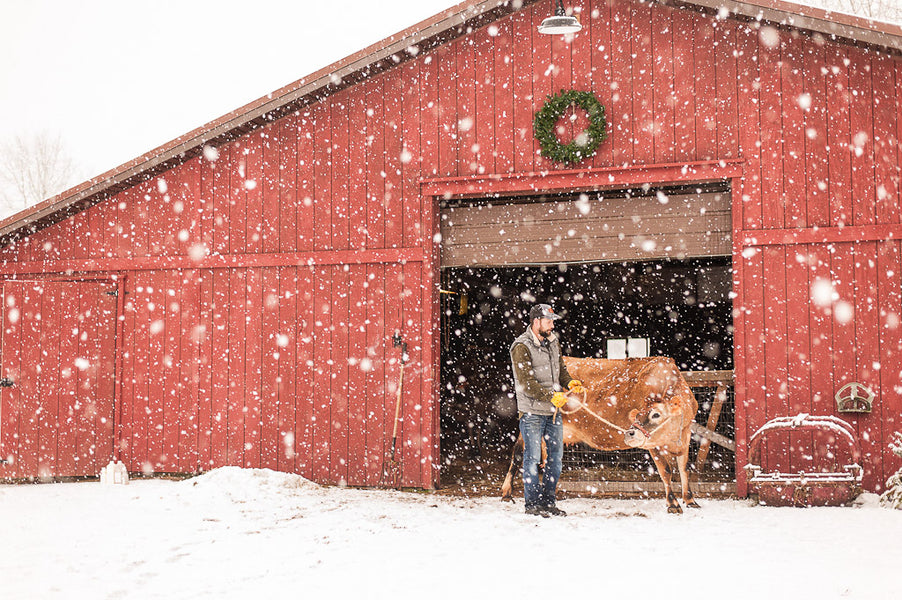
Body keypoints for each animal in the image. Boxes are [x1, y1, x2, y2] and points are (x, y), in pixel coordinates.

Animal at [502, 356, 708, 516]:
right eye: (636, 415)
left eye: (656, 414)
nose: (630, 433)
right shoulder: (653, 444)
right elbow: (666, 471)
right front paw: (673, 504)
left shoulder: (686, 435)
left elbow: (684, 468)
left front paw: (690, 500)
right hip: (529, 422)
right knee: (518, 454)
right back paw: (507, 493)